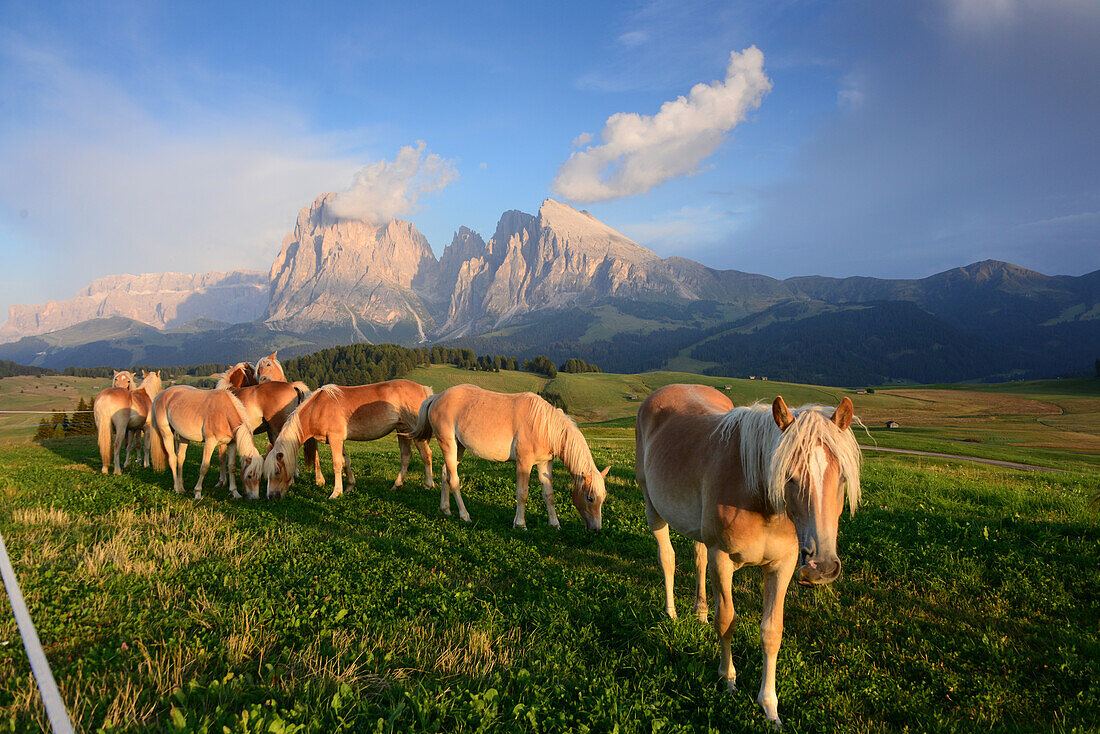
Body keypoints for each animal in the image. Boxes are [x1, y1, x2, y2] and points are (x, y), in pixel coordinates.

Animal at [265, 378, 433, 499]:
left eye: (277, 472)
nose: (271, 496)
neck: (318, 408)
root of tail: (423, 389)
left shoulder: (335, 439)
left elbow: (337, 464)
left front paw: (336, 492)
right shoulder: (339, 440)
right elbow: (346, 462)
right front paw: (350, 487)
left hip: (414, 431)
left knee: (426, 455)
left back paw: (428, 485)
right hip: (402, 430)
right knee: (406, 456)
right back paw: (396, 485)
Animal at [413, 385, 611, 528]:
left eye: (603, 498)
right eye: (590, 498)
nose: (596, 529)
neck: (544, 425)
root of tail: (437, 397)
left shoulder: (544, 463)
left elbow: (548, 494)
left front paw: (555, 524)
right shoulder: (524, 463)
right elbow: (522, 493)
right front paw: (520, 524)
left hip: (458, 448)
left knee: (445, 473)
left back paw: (445, 509)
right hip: (448, 444)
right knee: (454, 479)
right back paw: (464, 515)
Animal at [638, 385, 858, 730]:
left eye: (841, 479)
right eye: (788, 476)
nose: (821, 567)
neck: (758, 499)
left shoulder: (782, 567)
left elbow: (771, 632)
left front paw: (770, 707)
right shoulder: (723, 558)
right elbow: (727, 620)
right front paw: (728, 680)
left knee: (698, 559)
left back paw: (700, 613)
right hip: (653, 507)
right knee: (667, 558)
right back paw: (672, 614)